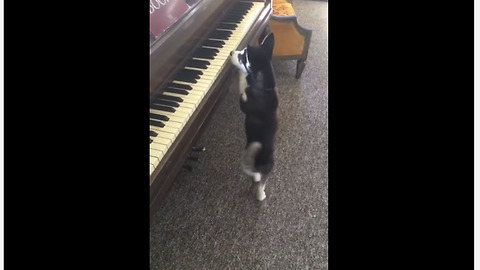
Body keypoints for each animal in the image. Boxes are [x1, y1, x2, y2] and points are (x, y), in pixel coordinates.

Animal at [231, 32, 280, 200]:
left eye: (242, 56)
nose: (231, 52)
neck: (265, 88)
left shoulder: (244, 104)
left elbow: (242, 85)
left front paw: (241, 74)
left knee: (260, 184)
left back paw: (260, 195)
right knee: (258, 177)